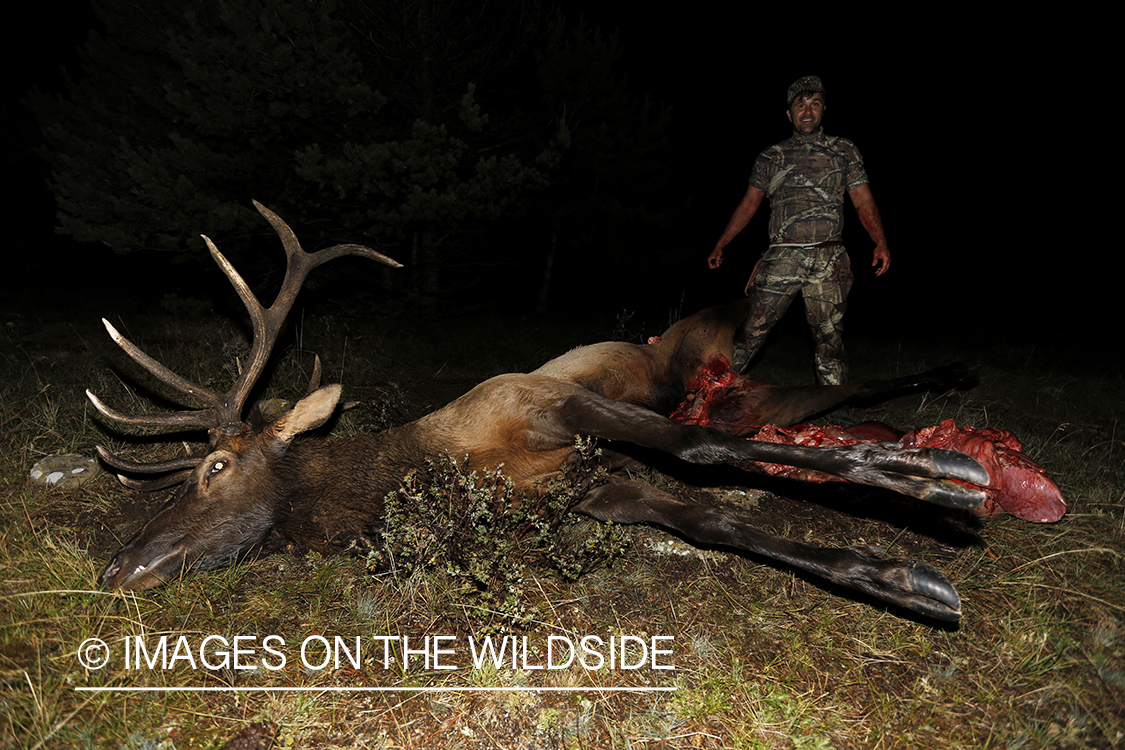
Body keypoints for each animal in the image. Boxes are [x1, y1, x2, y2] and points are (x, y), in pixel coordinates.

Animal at [87, 202, 990, 625]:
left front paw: (927, 477)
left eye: (215, 465)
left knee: (808, 379)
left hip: (726, 355)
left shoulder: (547, 400)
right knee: (829, 395)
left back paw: (946, 418)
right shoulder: (592, 491)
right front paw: (901, 578)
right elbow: (713, 522)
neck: (451, 468)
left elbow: (694, 449)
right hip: (750, 396)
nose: (116, 567)